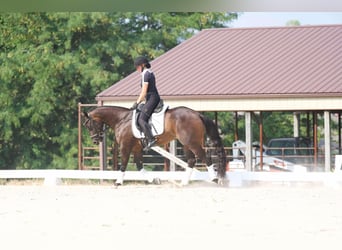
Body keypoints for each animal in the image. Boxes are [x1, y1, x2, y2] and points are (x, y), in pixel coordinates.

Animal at [82, 105, 227, 186]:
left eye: (89, 126)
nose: (96, 141)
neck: (121, 120)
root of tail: (197, 113)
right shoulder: (137, 148)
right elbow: (140, 166)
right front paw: (153, 180)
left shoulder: (125, 146)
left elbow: (123, 164)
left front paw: (118, 182)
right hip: (187, 143)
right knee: (192, 160)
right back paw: (184, 183)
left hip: (192, 142)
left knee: (205, 158)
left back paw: (215, 179)